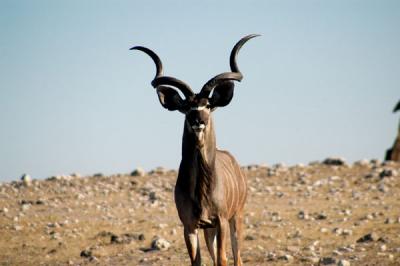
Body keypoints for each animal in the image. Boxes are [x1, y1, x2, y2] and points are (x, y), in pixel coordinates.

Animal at [131, 34, 260, 264]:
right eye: (185, 107)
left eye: (207, 105)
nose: (198, 120)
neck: (203, 191)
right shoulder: (190, 226)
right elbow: (198, 260)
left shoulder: (221, 219)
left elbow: (223, 260)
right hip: (210, 230)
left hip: (236, 218)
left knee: (237, 257)